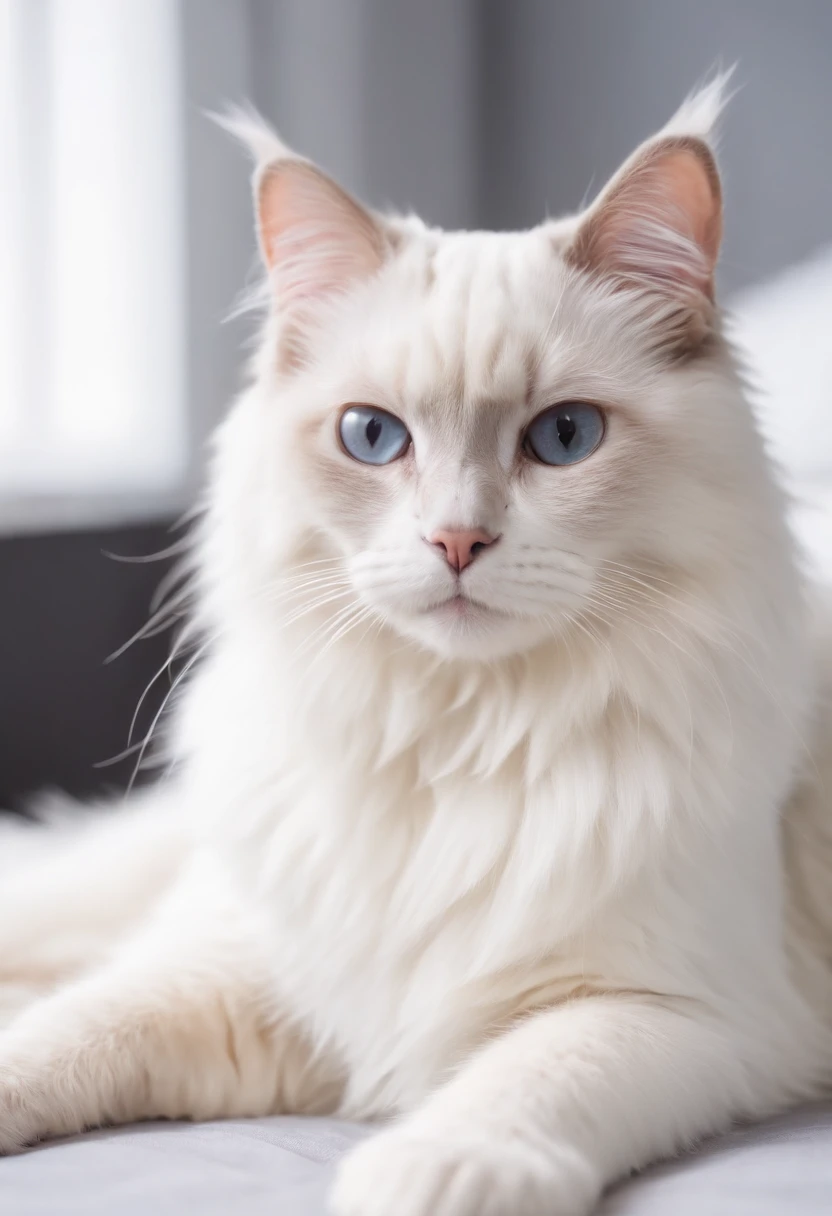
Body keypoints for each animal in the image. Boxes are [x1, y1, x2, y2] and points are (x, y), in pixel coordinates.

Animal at [1, 78, 832, 1216]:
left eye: (565, 437)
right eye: (372, 437)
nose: (456, 541)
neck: (458, 740)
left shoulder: (675, 1013)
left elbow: (514, 1088)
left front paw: (421, 1178)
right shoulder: (236, 970)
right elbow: (63, 1035)